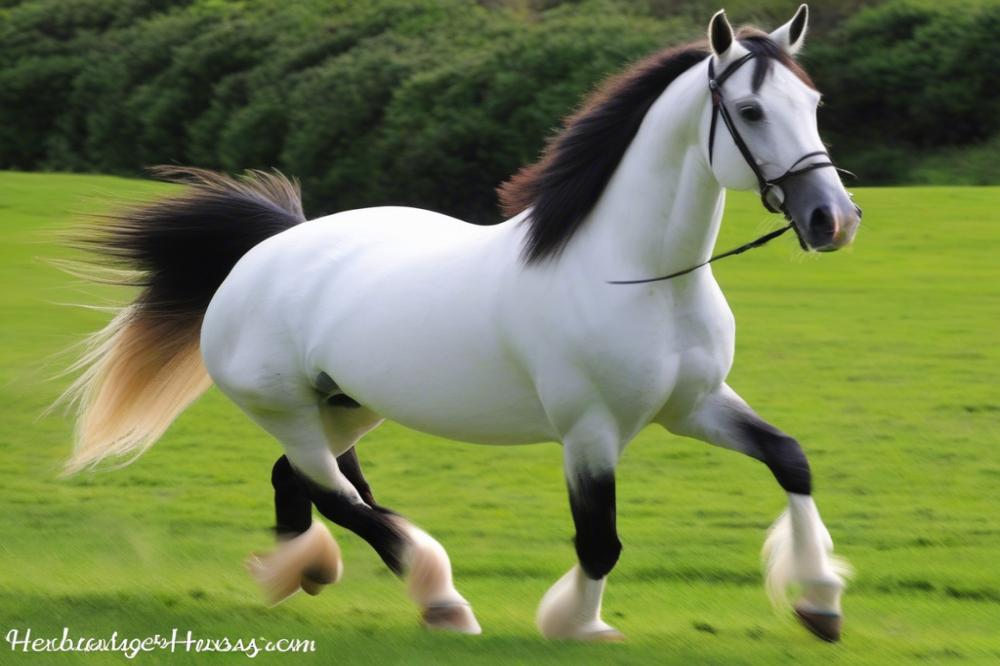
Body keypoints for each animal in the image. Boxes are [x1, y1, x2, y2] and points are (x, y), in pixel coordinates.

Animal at [62, 3, 860, 640]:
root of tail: (265, 250)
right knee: (333, 492)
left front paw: (820, 603)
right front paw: (575, 624)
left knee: (301, 481)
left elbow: (791, 459)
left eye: (815, 101)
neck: (635, 279)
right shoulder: (591, 432)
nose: (834, 219)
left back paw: (299, 571)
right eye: (752, 112)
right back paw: (437, 598)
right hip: (285, 406)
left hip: (347, 404)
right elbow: (599, 540)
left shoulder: (694, 407)